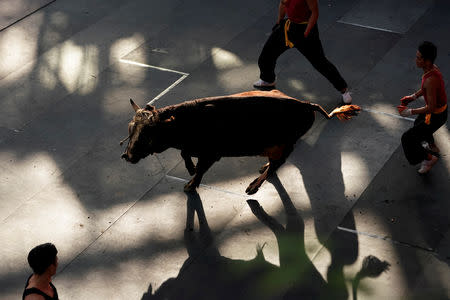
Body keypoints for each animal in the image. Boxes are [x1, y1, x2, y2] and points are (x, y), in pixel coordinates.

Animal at [121, 89, 360, 195]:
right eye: (130, 129)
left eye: (148, 134)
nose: (127, 155)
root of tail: (305, 104)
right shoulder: (193, 148)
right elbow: (185, 156)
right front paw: (189, 169)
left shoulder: (212, 154)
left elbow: (200, 169)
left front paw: (191, 183)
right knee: (275, 163)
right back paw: (263, 167)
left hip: (287, 142)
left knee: (278, 164)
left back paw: (254, 185)